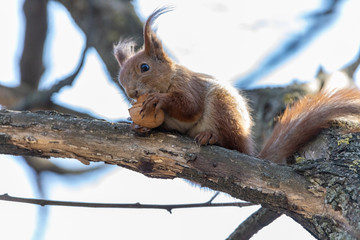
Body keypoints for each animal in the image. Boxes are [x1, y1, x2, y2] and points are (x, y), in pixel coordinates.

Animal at [114, 7, 360, 165]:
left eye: (144, 67)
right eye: (120, 80)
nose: (132, 93)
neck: (169, 79)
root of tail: (249, 151)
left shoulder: (188, 84)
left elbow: (189, 107)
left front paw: (158, 100)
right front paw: (139, 125)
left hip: (223, 108)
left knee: (230, 143)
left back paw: (211, 137)